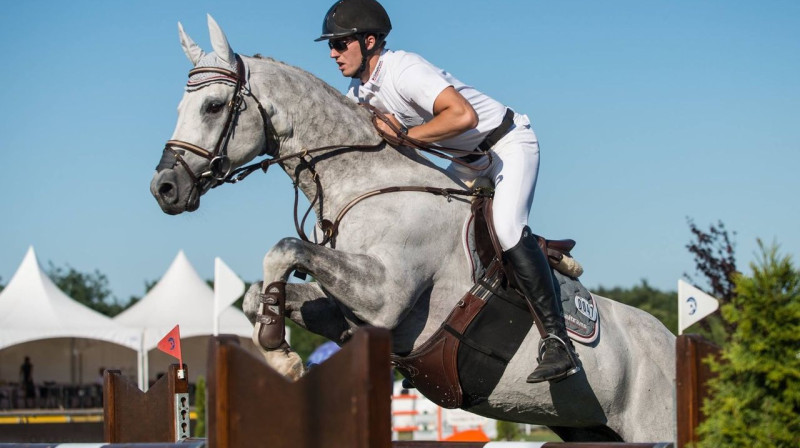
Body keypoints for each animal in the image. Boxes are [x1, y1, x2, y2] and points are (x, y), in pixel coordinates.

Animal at [150, 15, 676, 442]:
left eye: (213, 106)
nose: (164, 188)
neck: (366, 184)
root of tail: (673, 343)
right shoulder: (353, 306)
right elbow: (257, 292)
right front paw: (283, 350)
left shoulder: (386, 295)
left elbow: (282, 249)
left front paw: (278, 349)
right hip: (587, 428)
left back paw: (557, 356)